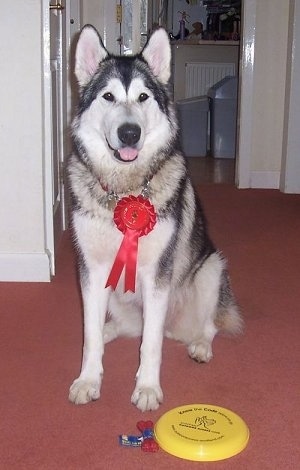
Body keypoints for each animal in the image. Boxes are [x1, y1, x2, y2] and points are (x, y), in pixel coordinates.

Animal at [68, 24, 241, 412]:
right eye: (108, 97)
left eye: (143, 97)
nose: (129, 132)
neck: (124, 191)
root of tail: (176, 328)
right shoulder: (92, 271)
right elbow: (89, 336)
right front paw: (88, 378)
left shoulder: (156, 275)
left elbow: (150, 345)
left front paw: (147, 388)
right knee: (120, 327)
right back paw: (107, 330)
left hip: (211, 269)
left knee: (204, 326)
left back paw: (200, 345)